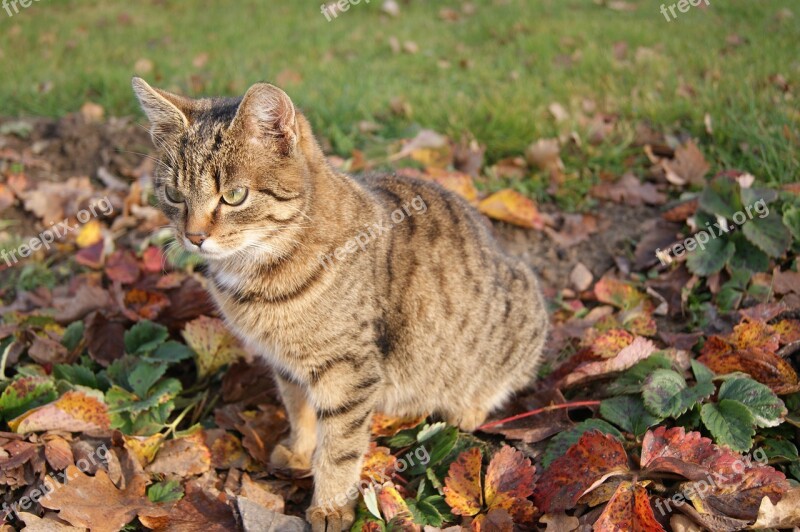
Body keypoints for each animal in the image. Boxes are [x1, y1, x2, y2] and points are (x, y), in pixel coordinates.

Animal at [133, 77, 552, 528]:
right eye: (174, 194)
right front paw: (300, 451)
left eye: (234, 195)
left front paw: (331, 506)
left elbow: (339, 447)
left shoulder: (347, 370)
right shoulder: (286, 364)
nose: (193, 237)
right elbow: (299, 411)